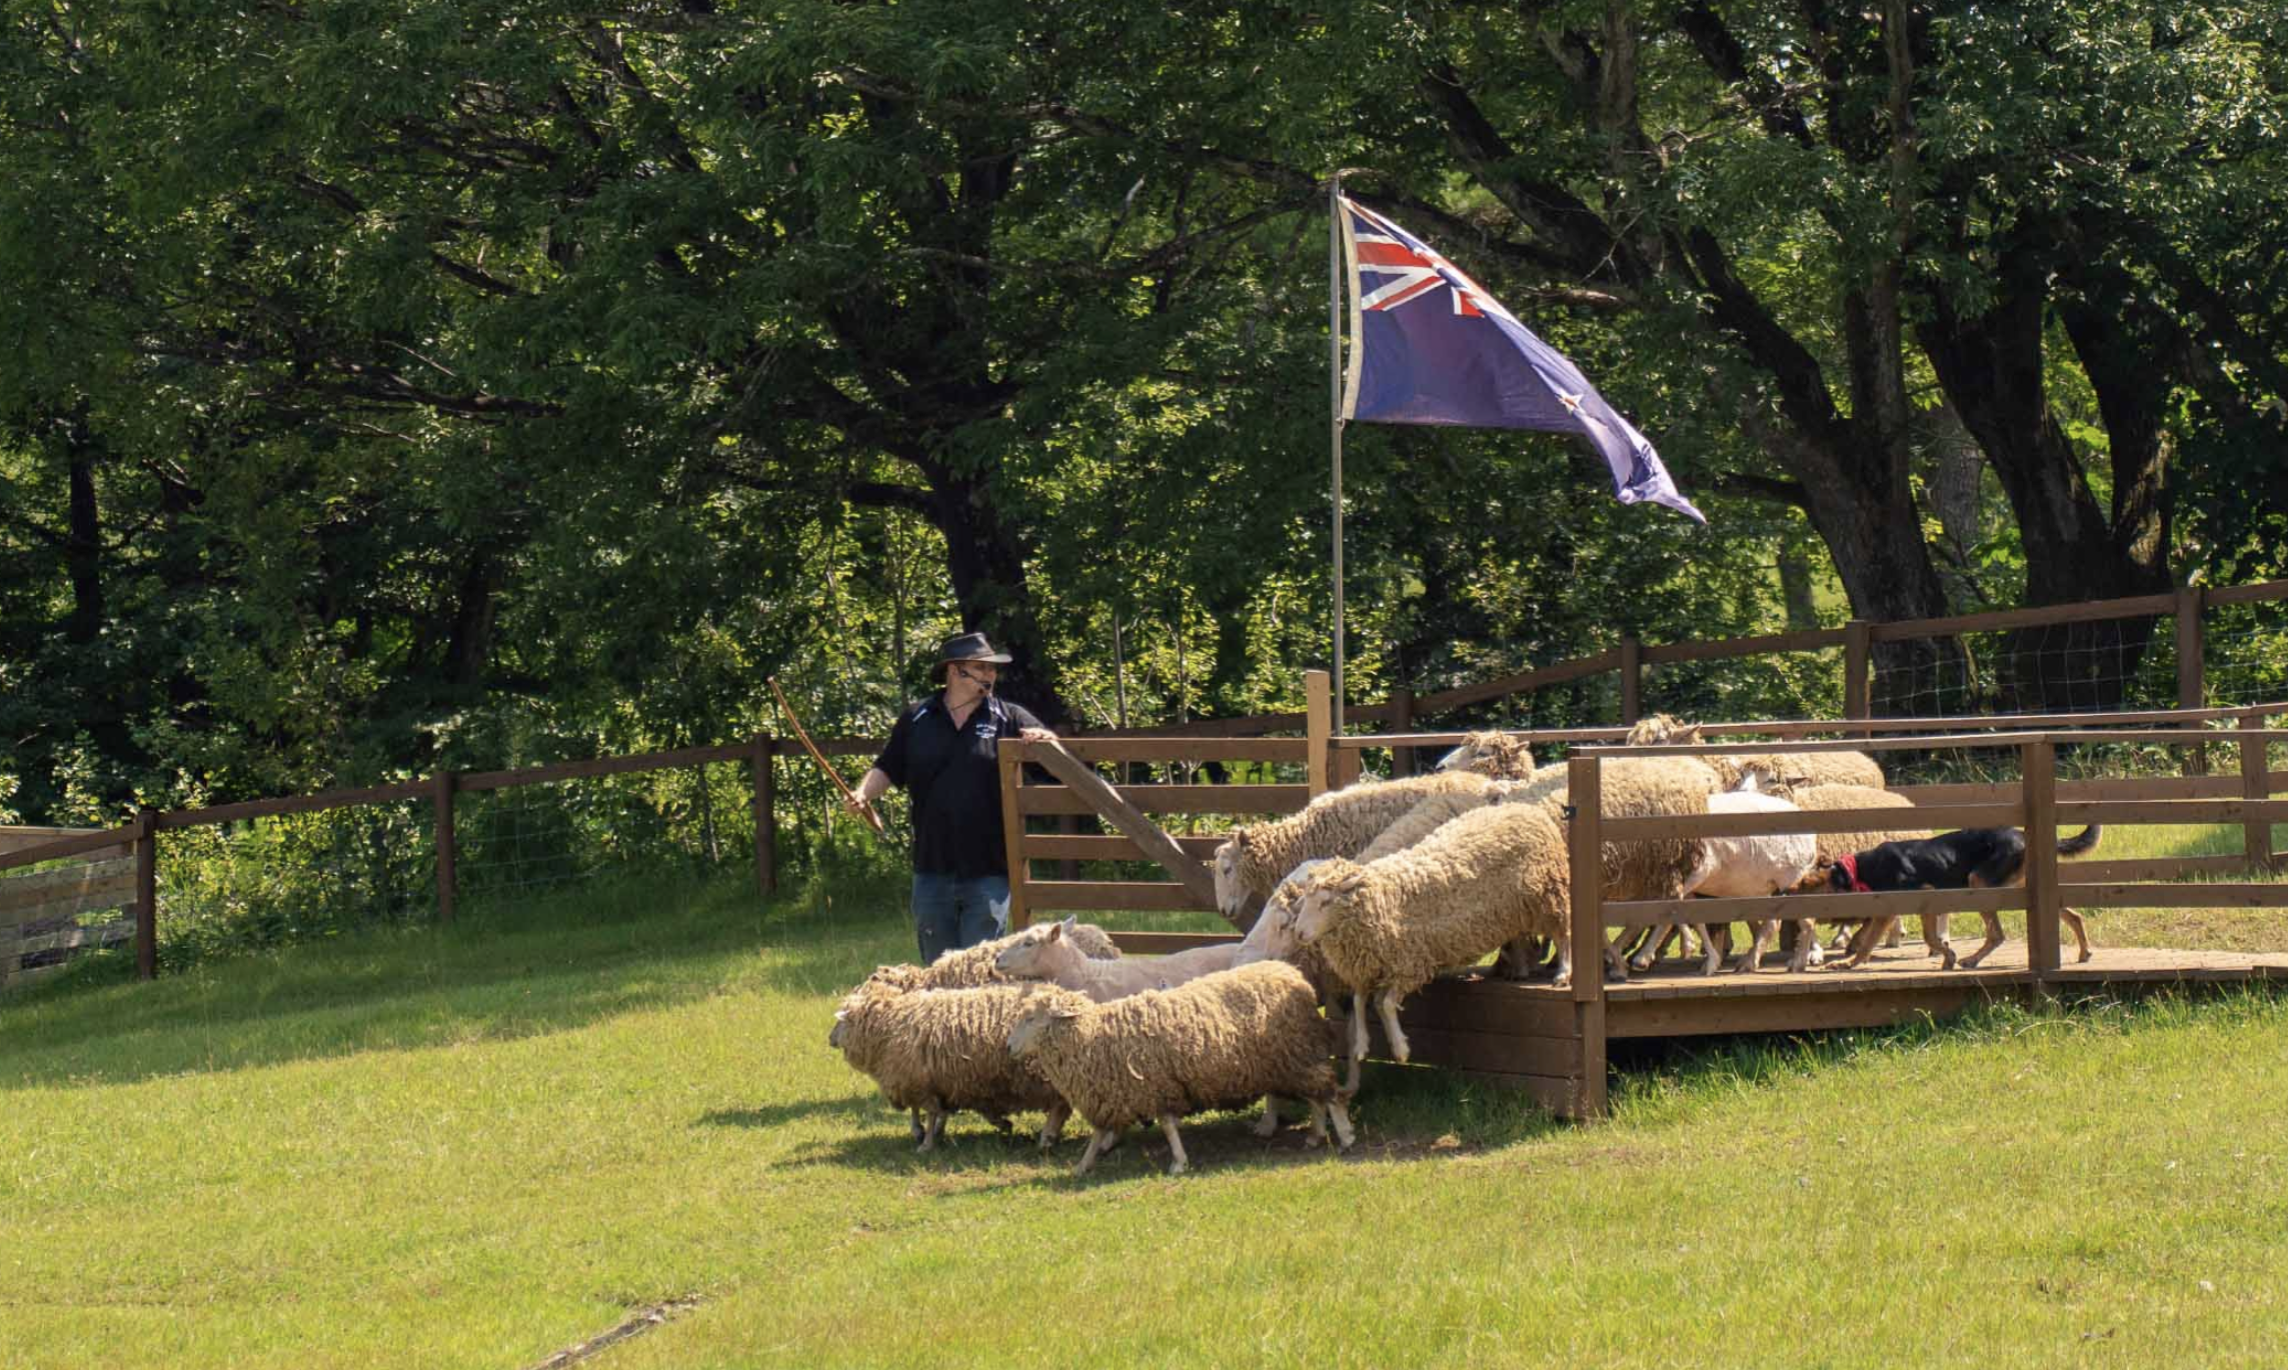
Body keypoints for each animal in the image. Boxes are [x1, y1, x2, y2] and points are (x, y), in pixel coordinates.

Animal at [832, 978, 1070, 1152]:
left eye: (840, 1022)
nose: (830, 1039)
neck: (891, 1022)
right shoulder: (933, 1081)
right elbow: (930, 1110)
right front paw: (927, 1131)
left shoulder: (918, 1081)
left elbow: (929, 1112)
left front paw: (926, 1143)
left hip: (1047, 1073)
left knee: (1059, 1105)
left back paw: (1047, 1137)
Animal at [1006, 956, 1354, 1180]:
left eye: (1031, 1018)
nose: (1008, 1047)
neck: (1092, 1036)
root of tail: (1293, 974)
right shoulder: (1110, 1092)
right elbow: (1100, 1133)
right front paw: (1084, 1165)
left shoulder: (1155, 1086)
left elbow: (1167, 1126)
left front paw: (1178, 1163)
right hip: (1290, 1061)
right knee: (1316, 1096)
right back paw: (1316, 1135)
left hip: (1295, 1056)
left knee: (1329, 1093)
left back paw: (1346, 1137)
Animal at [1290, 800, 1574, 1088]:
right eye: (1305, 900)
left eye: (1325, 902)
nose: (1299, 933)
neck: (1383, 898)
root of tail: (1524, 808)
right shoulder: (1368, 965)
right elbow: (1361, 1001)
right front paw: (1361, 1045)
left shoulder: (1410, 964)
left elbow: (1385, 1004)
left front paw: (1400, 1048)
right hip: (1512, 909)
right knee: (1519, 935)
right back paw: (1521, 970)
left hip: (1547, 893)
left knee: (1563, 934)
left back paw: (1562, 972)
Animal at [1821, 823, 2104, 965]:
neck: (1861, 869)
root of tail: (2023, 835)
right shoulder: (1923, 905)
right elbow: (1930, 938)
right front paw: (1947, 956)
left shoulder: (1901, 904)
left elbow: (1870, 941)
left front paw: (1849, 964)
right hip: (2020, 886)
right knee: (2074, 915)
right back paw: (2084, 953)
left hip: (1978, 883)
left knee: (1996, 935)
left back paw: (1971, 960)